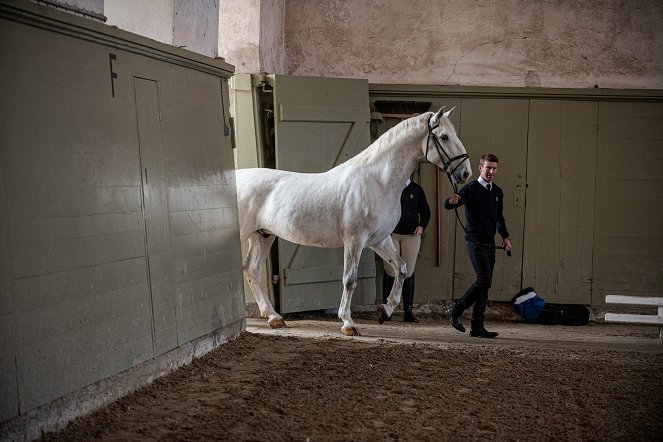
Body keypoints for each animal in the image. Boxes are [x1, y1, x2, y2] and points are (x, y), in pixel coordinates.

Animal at [237, 108, 472, 334]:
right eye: (444, 137)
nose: (465, 172)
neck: (377, 181)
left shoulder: (379, 240)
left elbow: (401, 268)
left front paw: (385, 310)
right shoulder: (355, 240)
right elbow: (349, 279)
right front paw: (348, 322)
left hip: (263, 236)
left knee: (252, 270)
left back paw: (274, 317)